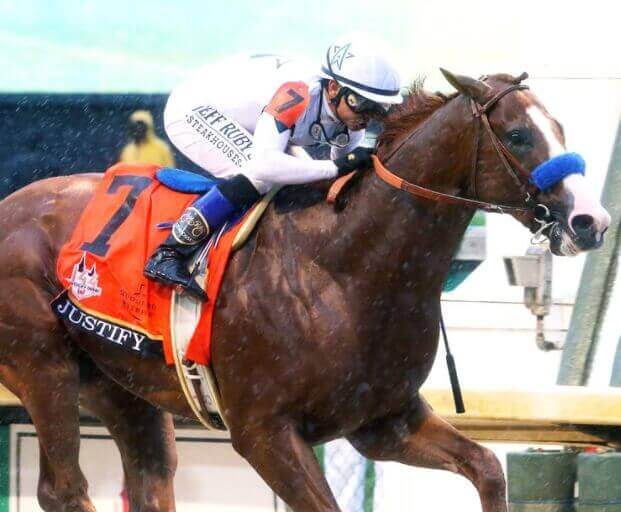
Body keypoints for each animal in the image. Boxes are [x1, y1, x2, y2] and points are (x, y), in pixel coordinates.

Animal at [0, 69, 608, 512]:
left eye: (559, 129)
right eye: (518, 135)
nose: (591, 221)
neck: (341, 271)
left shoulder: (384, 422)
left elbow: (487, 468)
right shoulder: (263, 432)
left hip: (120, 384)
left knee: (150, 481)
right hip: (44, 366)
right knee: (63, 489)